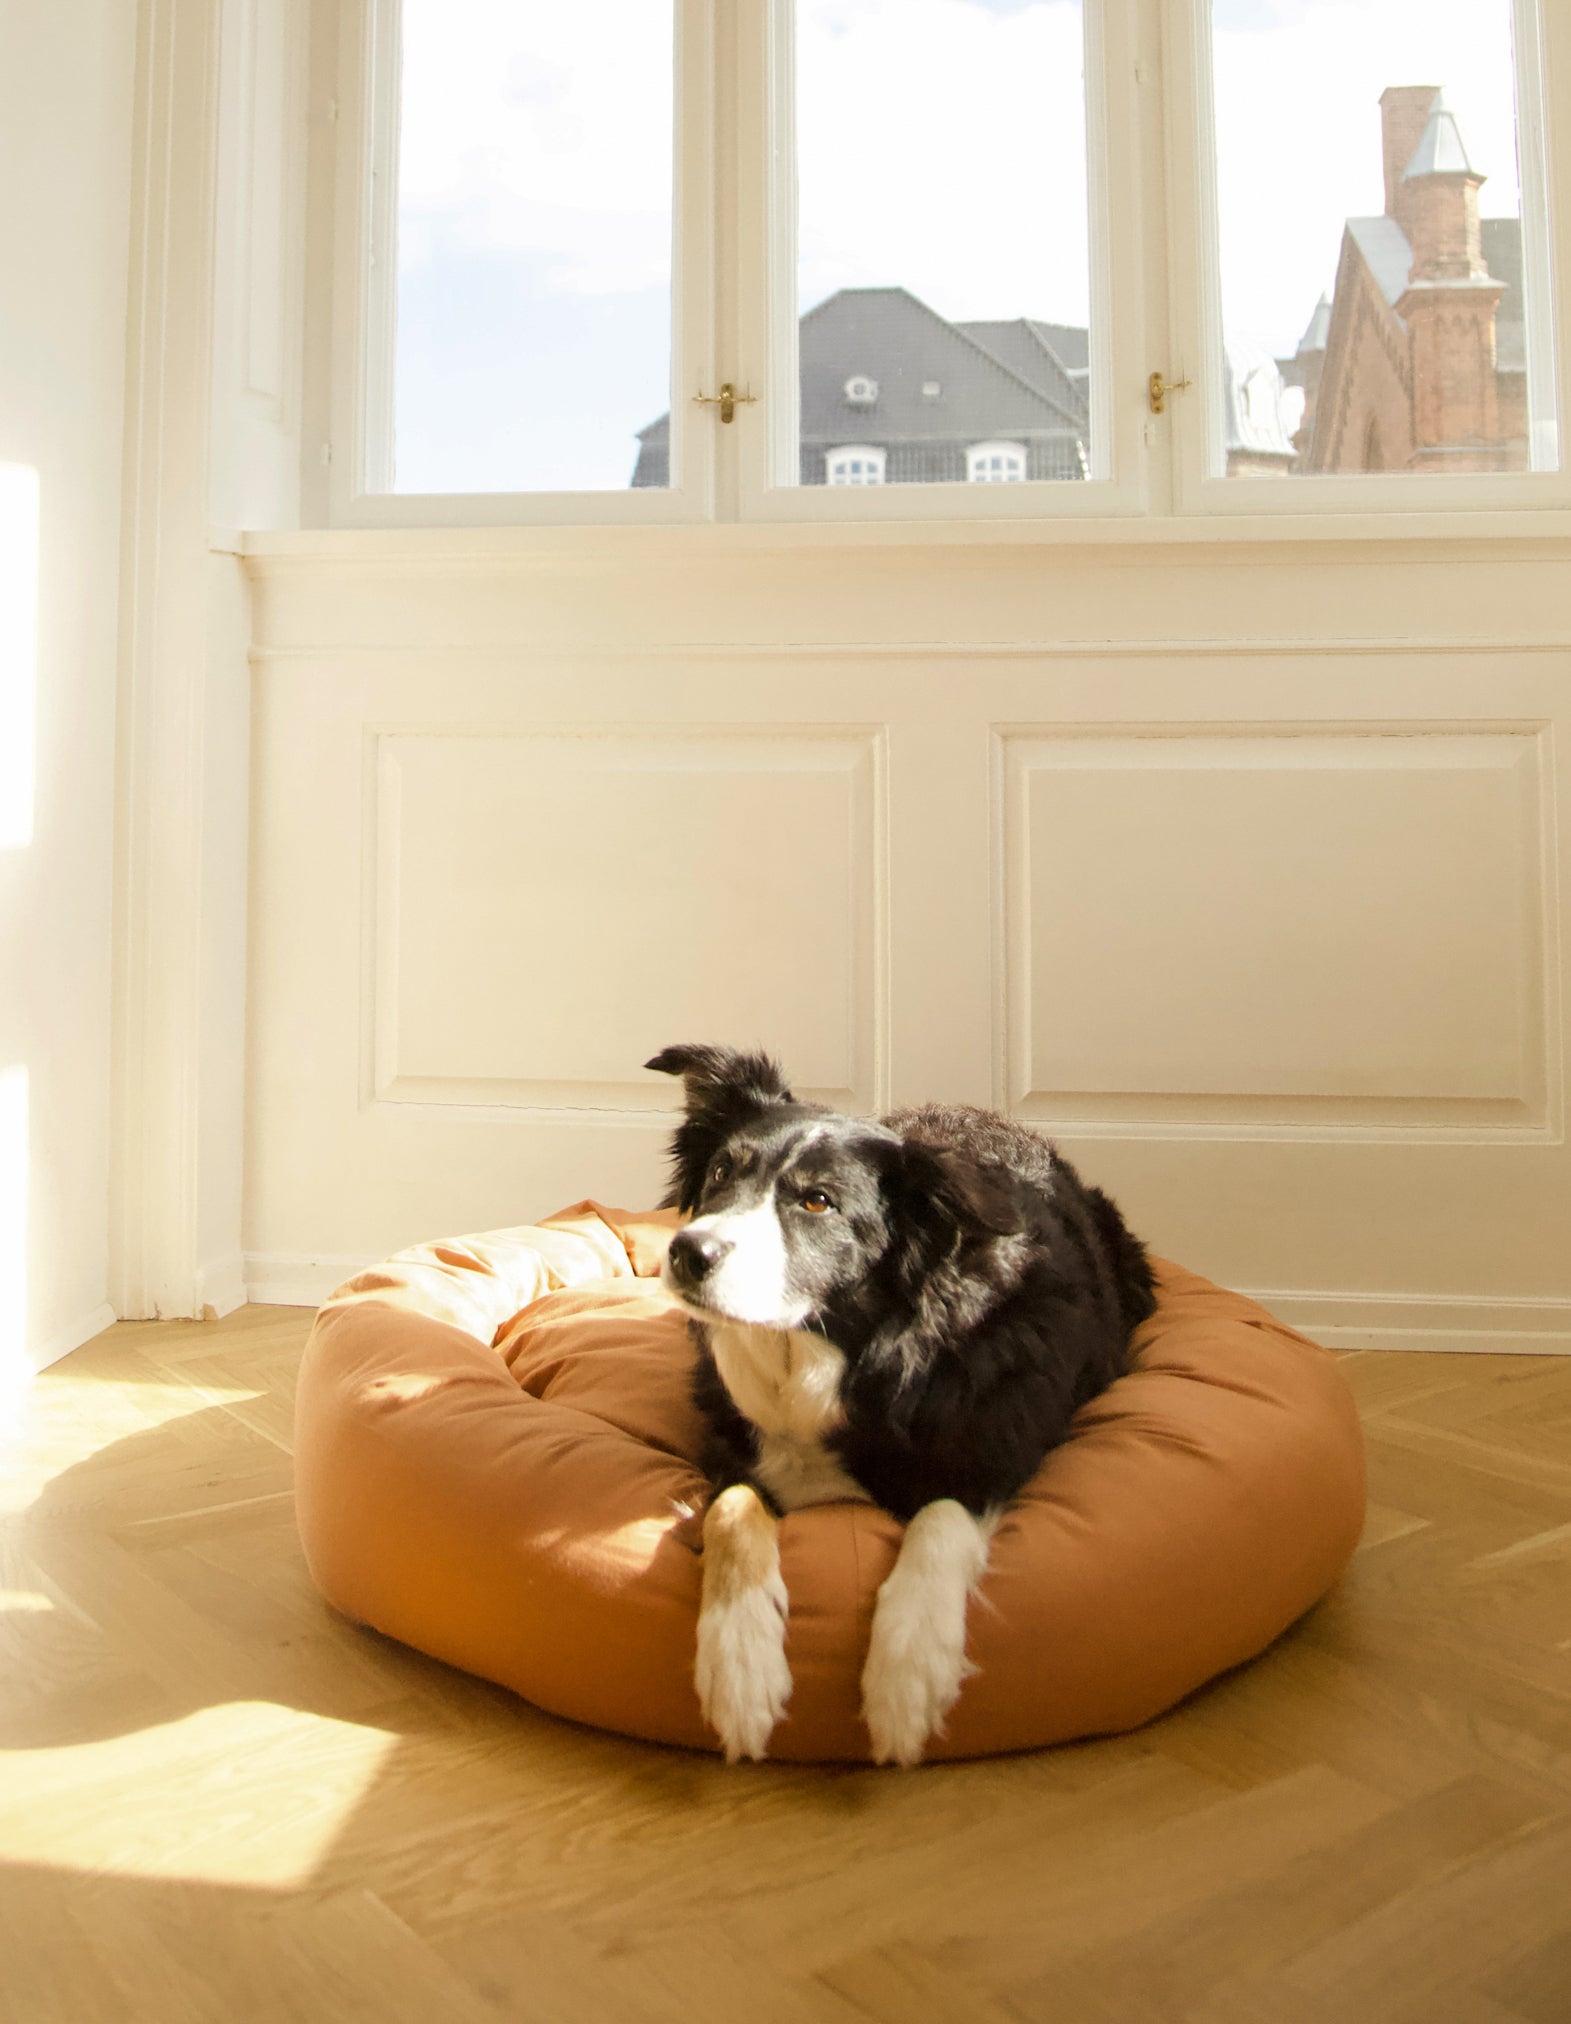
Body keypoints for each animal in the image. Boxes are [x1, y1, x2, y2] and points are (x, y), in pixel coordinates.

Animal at [639, 1052, 1149, 1764]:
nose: (688, 1253)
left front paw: (906, 1677)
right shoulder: (732, 1449)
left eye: (817, 1201)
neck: (822, 1351)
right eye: (719, 1173)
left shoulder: (988, 1446)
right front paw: (739, 1666)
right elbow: (734, 1513)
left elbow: (940, 1517)